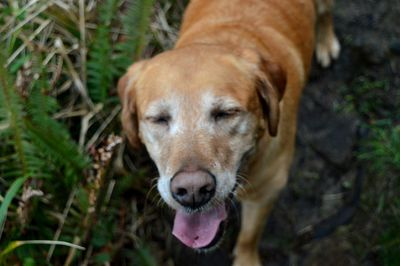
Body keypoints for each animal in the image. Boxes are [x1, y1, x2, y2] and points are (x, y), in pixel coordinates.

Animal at [117, 0, 340, 264]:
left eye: (226, 113)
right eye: (159, 119)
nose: (192, 191)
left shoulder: (267, 192)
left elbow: (249, 236)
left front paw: (246, 259)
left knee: (326, 13)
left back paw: (326, 42)